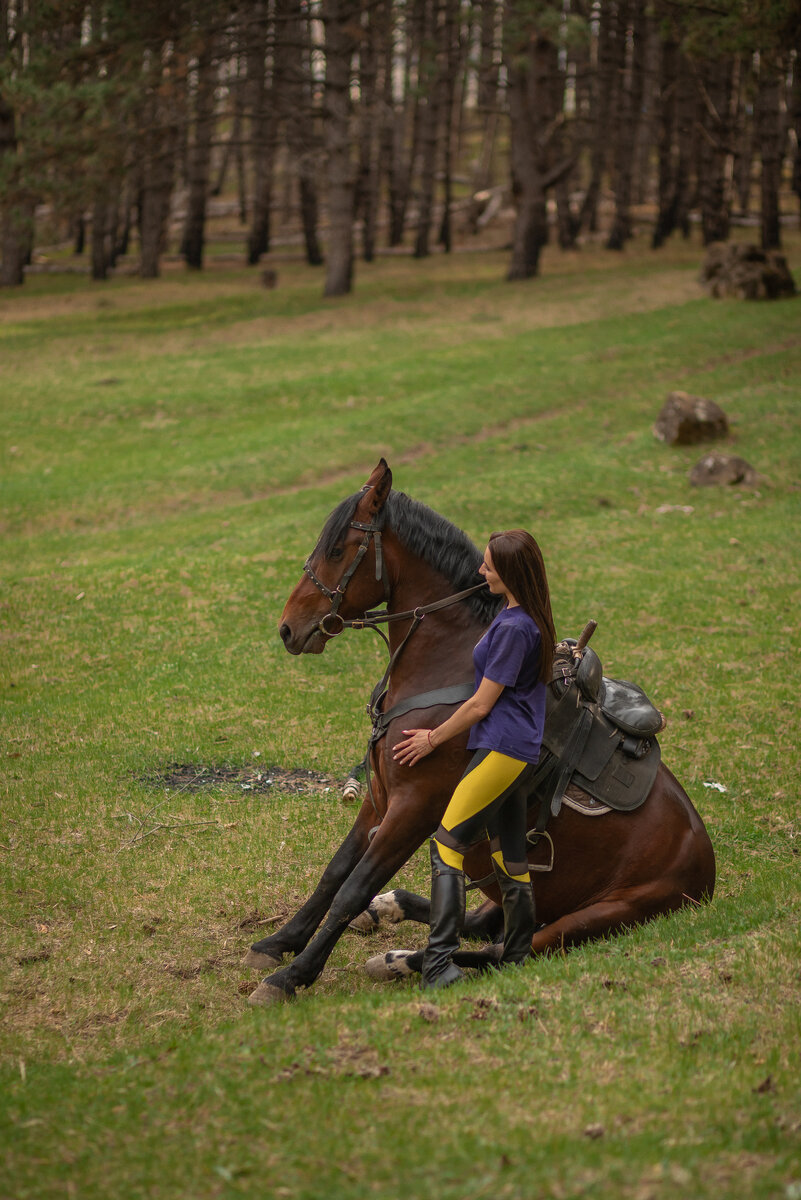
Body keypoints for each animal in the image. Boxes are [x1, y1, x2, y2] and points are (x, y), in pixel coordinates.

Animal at [247, 463, 714, 1008]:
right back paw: (390, 920)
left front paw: (292, 975)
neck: (447, 669)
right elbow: (335, 873)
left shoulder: (415, 808)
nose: (287, 629)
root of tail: (706, 871)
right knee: (483, 924)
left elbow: (352, 887)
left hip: (593, 917)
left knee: (506, 951)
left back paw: (401, 959)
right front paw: (279, 943)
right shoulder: (379, 799)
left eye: (339, 550)